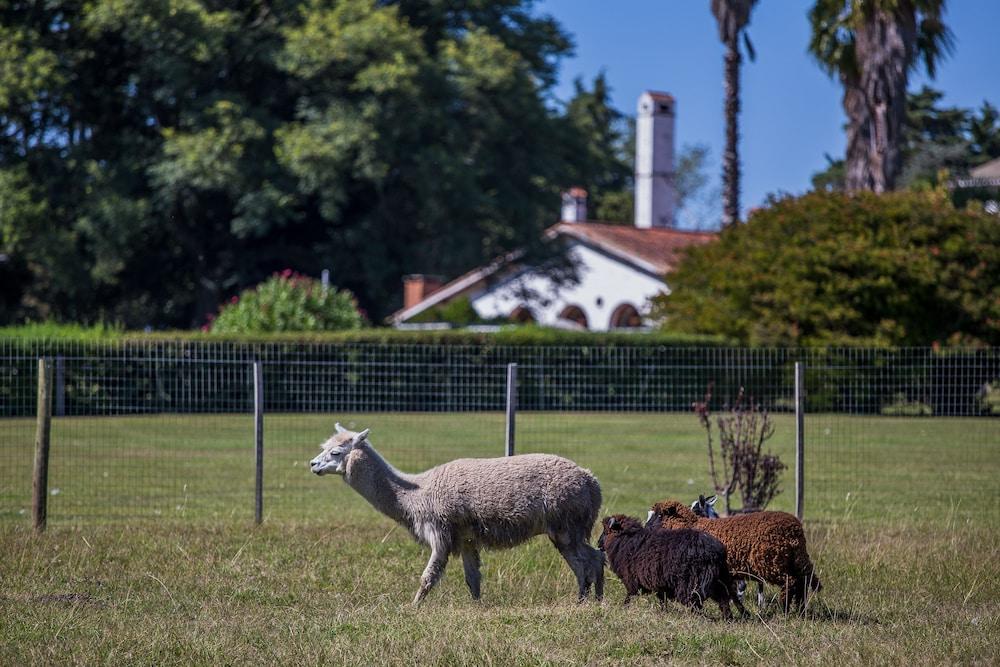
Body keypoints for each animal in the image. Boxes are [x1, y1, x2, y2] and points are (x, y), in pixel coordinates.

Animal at [596, 516, 748, 620]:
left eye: (606, 531)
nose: (598, 544)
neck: (626, 541)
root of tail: (717, 550)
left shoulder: (632, 579)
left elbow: (630, 595)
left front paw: (624, 607)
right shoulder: (660, 582)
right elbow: (661, 598)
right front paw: (663, 612)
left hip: (695, 581)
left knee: (702, 600)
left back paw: (702, 617)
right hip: (719, 577)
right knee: (727, 596)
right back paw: (730, 617)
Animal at [648, 498, 820, 612]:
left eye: (659, 515)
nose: (646, 527)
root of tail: (795, 530)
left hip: (773, 563)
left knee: (791, 582)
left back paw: (784, 609)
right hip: (792, 561)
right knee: (803, 582)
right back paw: (800, 610)